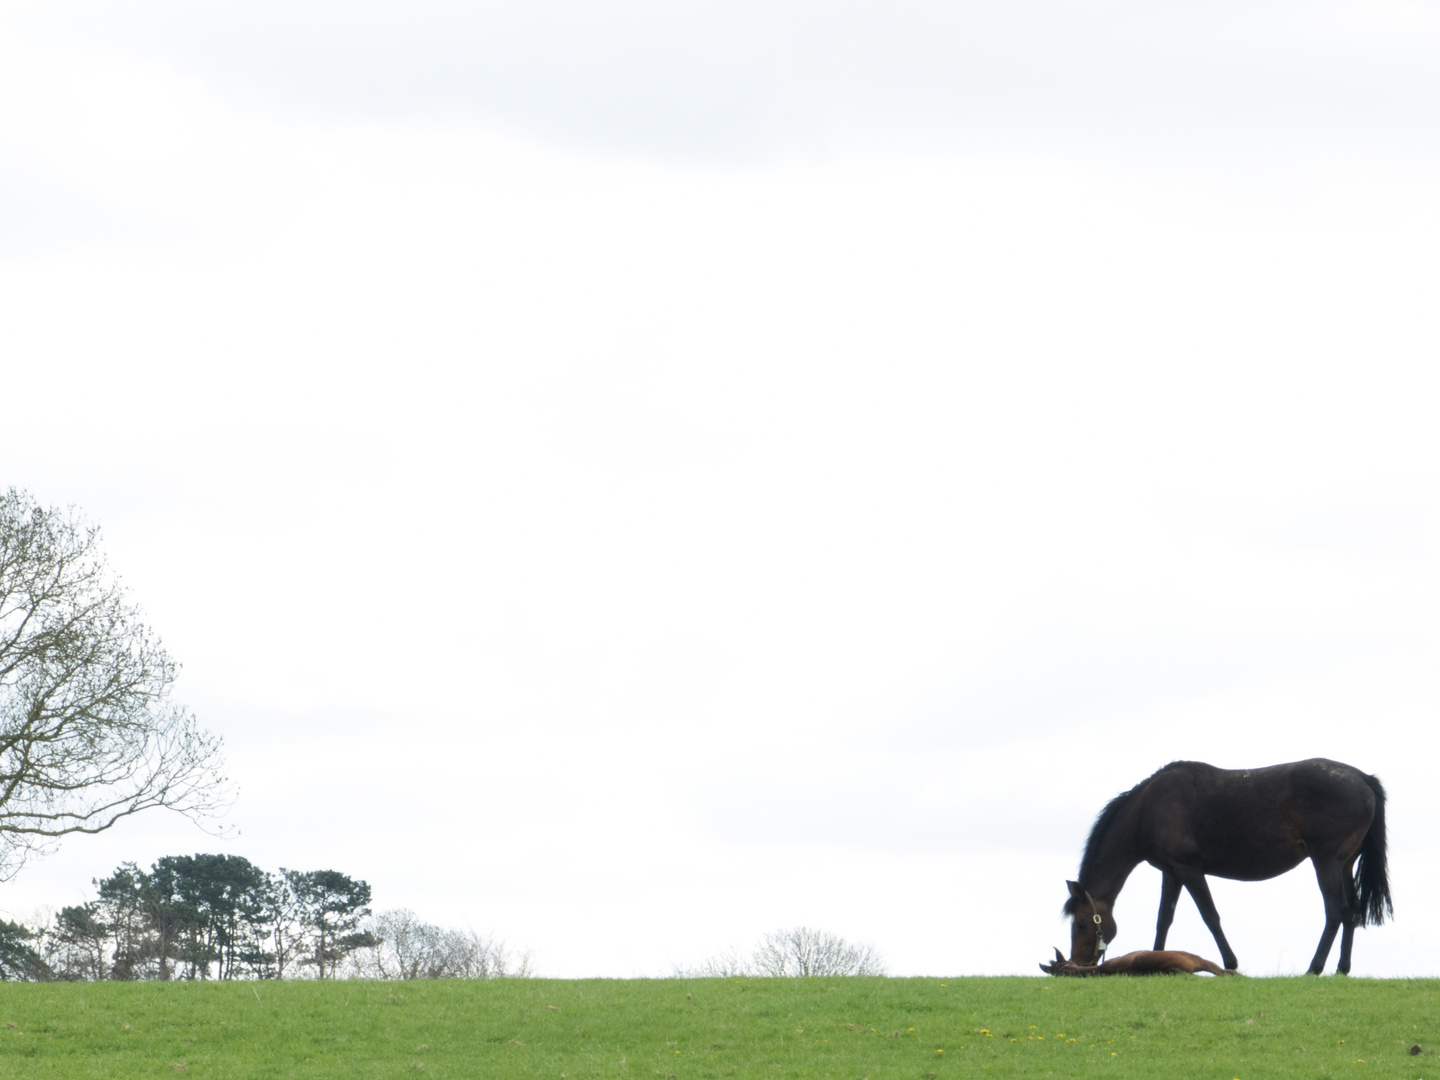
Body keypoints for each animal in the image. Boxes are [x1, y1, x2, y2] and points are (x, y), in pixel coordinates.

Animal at [1065, 760, 1388, 979]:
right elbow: (1164, 919)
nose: (1077, 963)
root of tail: (1363, 778)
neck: (1148, 810)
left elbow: (1210, 916)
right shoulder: (1171, 873)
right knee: (1351, 912)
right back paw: (1342, 969)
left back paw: (1315, 968)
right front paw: (1155, 957)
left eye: (1081, 924)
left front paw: (1231, 963)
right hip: (1345, 865)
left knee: (1335, 911)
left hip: (1326, 862)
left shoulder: (1189, 870)